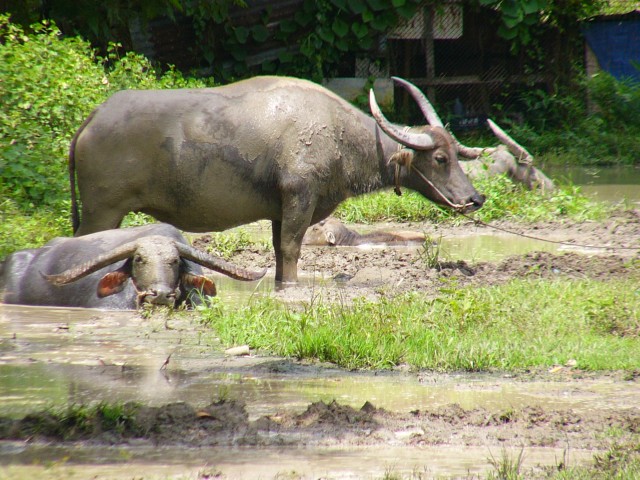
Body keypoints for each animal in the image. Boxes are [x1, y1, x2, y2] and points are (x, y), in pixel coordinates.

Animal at [67, 75, 482, 282]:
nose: (474, 198)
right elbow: (291, 249)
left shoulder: (280, 211)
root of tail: (94, 118)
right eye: (441, 158)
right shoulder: (300, 197)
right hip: (102, 210)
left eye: (459, 154)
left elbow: (280, 254)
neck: (337, 132)